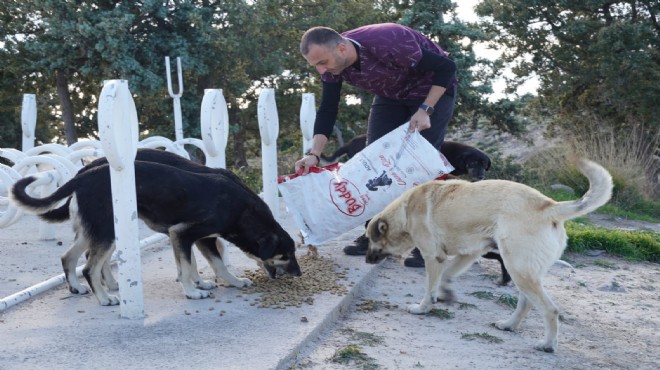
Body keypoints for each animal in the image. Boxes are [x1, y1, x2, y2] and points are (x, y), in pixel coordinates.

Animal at [10, 148, 302, 306]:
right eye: (285, 255)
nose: (299, 274)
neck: (241, 210)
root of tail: (82, 176)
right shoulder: (184, 234)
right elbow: (200, 265)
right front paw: (193, 291)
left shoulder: (195, 238)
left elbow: (200, 264)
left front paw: (212, 282)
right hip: (106, 232)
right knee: (89, 267)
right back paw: (104, 298)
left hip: (97, 230)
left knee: (69, 257)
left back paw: (80, 287)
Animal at [364, 157, 612, 352]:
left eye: (369, 239)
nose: (366, 260)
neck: (405, 211)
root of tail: (549, 206)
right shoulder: (469, 254)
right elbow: (447, 276)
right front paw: (446, 294)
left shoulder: (433, 257)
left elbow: (429, 288)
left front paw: (423, 308)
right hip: (523, 272)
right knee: (527, 303)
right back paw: (509, 325)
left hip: (517, 268)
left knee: (550, 309)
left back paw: (547, 345)